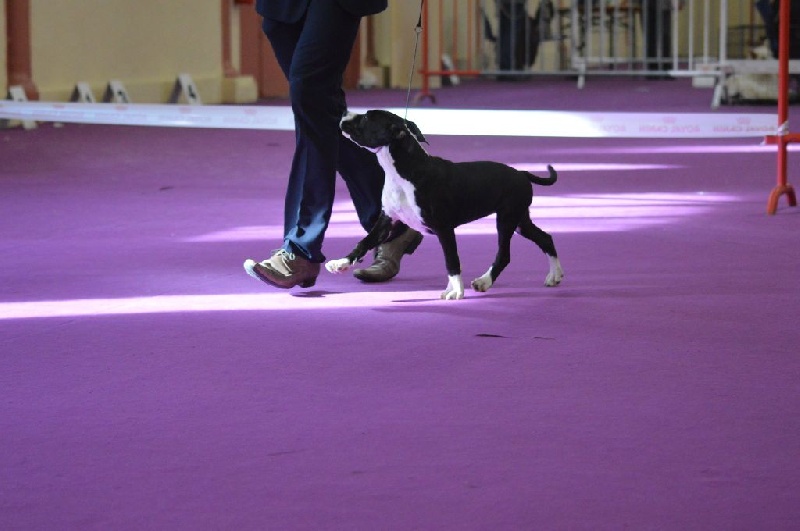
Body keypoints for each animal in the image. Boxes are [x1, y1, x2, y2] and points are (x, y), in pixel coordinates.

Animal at [325, 109, 563, 300]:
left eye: (368, 117)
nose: (344, 113)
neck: (405, 170)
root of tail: (521, 173)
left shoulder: (444, 228)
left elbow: (451, 260)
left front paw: (456, 291)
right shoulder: (387, 221)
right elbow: (364, 242)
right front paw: (341, 263)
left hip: (506, 219)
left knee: (505, 254)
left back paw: (484, 281)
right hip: (520, 220)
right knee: (545, 238)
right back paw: (554, 275)